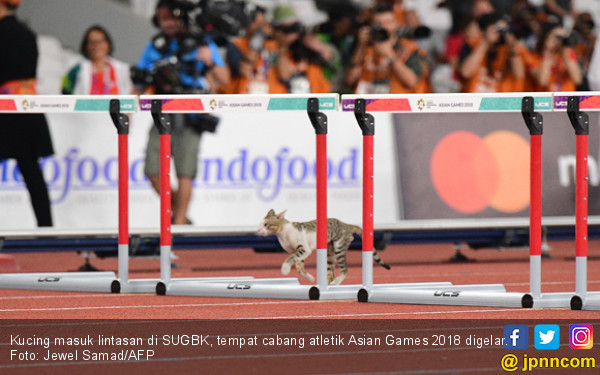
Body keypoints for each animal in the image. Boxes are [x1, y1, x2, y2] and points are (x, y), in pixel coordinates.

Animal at [256, 210, 390, 286]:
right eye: (260, 224)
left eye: (266, 225)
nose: (258, 230)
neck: (283, 233)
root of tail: (345, 224)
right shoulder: (300, 253)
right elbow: (299, 267)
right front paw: (310, 278)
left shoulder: (303, 249)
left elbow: (289, 259)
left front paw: (284, 269)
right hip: (329, 253)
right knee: (331, 272)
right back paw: (327, 284)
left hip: (339, 247)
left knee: (345, 270)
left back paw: (335, 282)